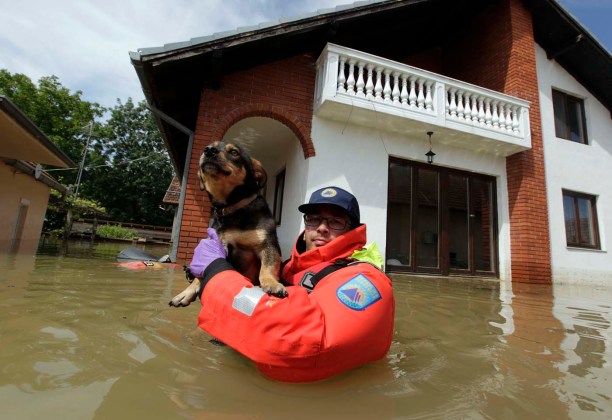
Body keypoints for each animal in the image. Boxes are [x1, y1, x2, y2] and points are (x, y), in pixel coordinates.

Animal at [169, 142, 286, 308]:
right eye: (208, 147)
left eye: (234, 152)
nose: (208, 150)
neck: (233, 208)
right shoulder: (221, 245)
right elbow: (203, 273)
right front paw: (187, 292)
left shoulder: (268, 244)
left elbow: (267, 267)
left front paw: (272, 283)